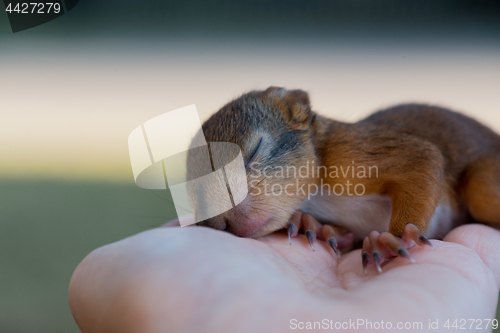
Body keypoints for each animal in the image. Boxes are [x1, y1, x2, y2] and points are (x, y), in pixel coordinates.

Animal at [186, 86, 498, 272]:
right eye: (196, 198)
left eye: (254, 150)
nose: (225, 223)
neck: (315, 197)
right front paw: (312, 225)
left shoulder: (351, 154)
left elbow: (422, 157)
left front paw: (393, 239)